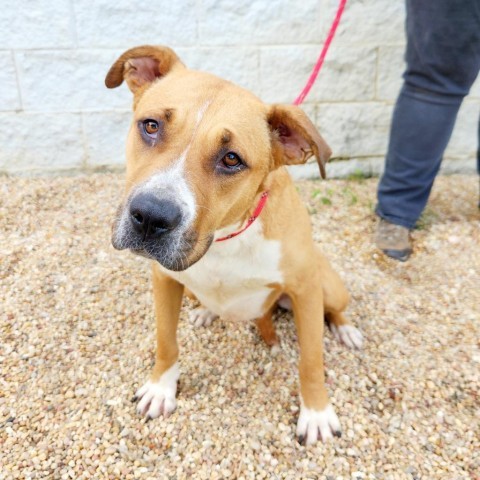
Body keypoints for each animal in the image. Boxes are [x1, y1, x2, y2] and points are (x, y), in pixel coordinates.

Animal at [105, 46, 360, 446]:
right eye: (151, 126)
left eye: (231, 159)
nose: (149, 217)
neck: (224, 239)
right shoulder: (163, 278)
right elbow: (166, 339)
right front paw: (161, 389)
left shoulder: (306, 290)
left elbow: (311, 361)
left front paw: (317, 413)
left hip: (330, 286)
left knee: (334, 310)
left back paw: (345, 328)